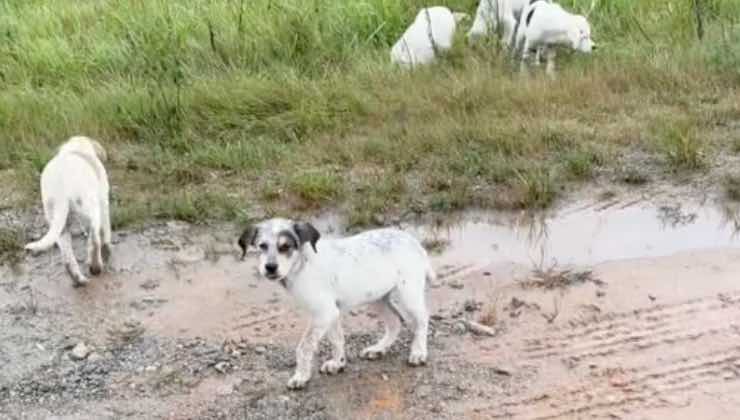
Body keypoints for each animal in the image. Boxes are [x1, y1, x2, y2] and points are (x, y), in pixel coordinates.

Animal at [237, 220, 434, 390]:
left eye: (285, 246)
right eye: (262, 246)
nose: (270, 267)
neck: (302, 265)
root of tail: (415, 243)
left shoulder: (324, 313)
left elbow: (304, 347)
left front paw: (301, 376)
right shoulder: (331, 313)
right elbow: (336, 339)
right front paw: (337, 363)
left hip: (407, 294)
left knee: (422, 320)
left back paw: (419, 352)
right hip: (377, 297)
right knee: (394, 322)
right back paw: (378, 349)